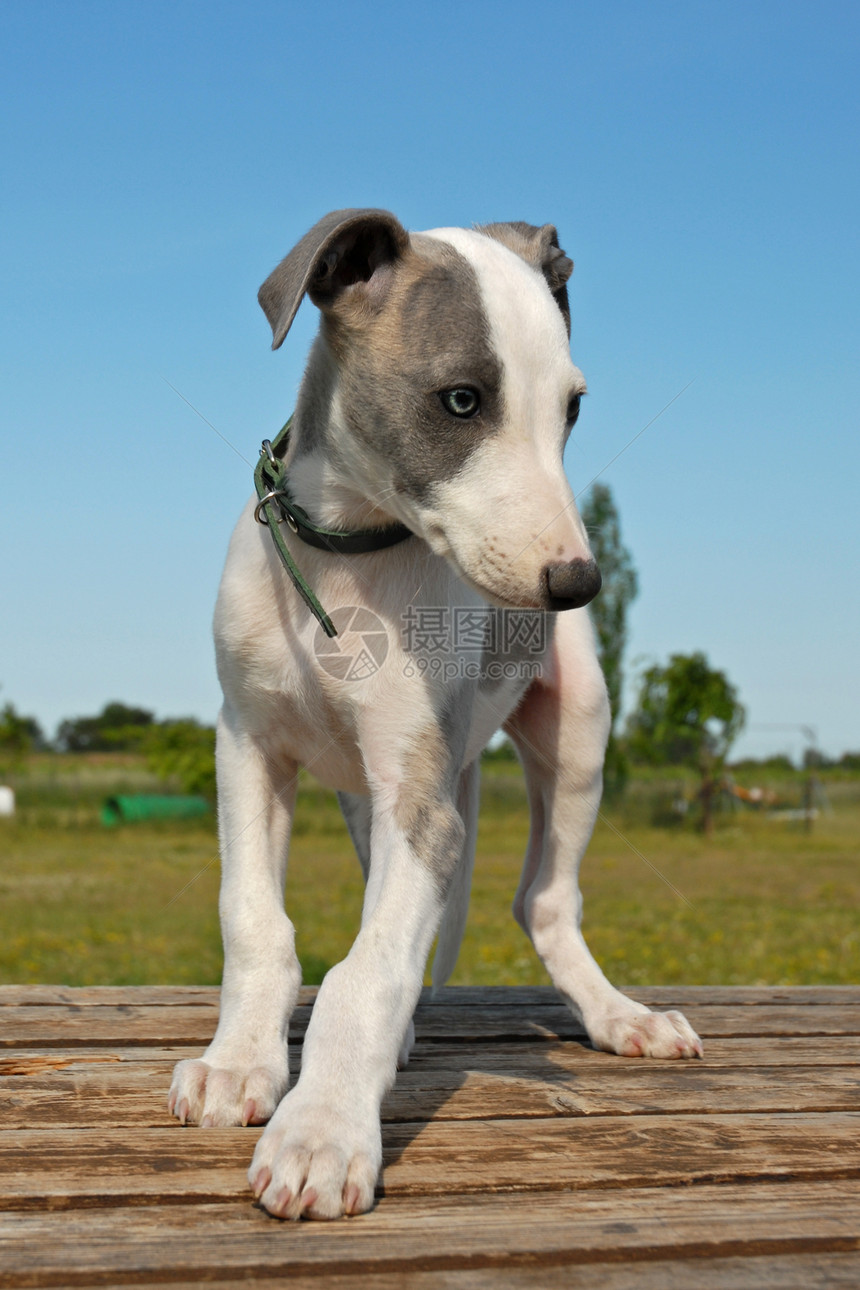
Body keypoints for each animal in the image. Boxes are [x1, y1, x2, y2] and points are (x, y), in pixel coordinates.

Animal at [166, 208, 701, 1217]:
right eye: (461, 401)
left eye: (573, 409)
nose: (578, 584)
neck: (347, 559)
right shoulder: (249, 746)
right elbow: (253, 918)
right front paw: (237, 1065)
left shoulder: (420, 797)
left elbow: (367, 970)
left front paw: (322, 1132)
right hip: (368, 795)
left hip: (577, 732)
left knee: (544, 901)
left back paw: (621, 1016)